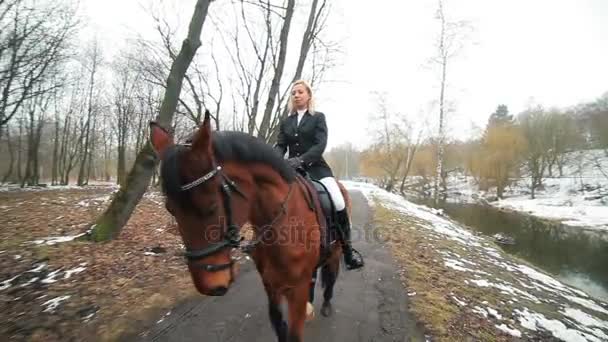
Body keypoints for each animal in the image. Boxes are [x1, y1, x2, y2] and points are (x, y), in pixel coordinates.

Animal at [150, 111, 350, 340]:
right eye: (170, 209)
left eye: (211, 206)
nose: (209, 285)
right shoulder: (270, 284)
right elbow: (279, 324)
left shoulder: (296, 289)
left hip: (335, 253)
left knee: (331, 276)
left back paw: (326, 305)